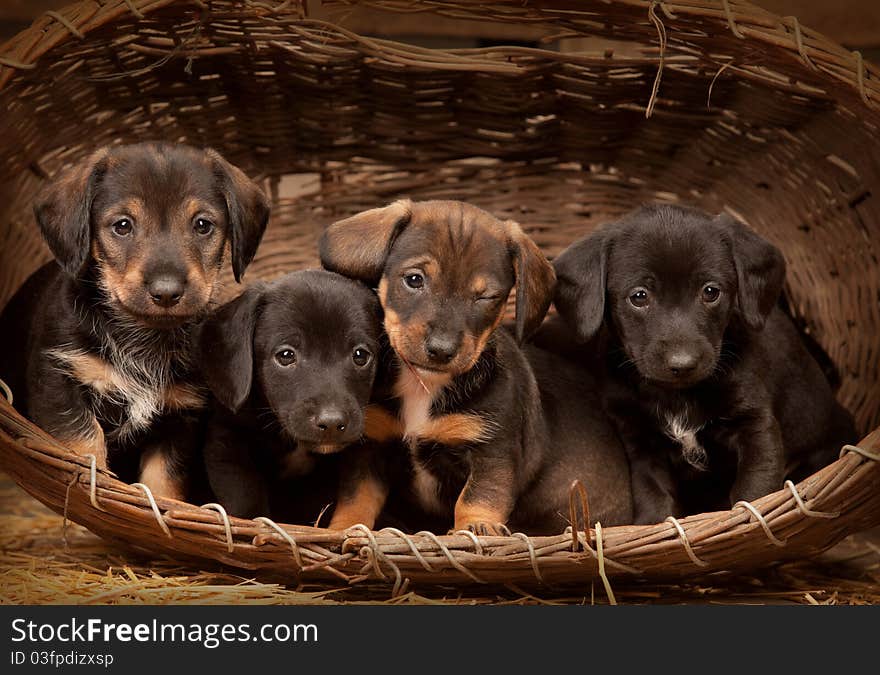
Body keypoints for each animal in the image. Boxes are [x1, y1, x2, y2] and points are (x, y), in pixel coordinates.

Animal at [0, 144, 270, 502]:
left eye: (203, 225)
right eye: (122, 225)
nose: (167, 292)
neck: (144, 337)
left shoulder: (179, 418)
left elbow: (163, 483)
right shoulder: (59, 386)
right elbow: (86, 445)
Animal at [322, 198, 632, 536]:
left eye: (486, 297)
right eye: (414, 279)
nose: (441, 350)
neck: (424, 386)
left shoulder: (492, 451)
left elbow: (478, 496)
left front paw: (476, 528)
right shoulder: (372, 447)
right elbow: (357, 498)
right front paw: (342, 529)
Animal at [552, 203, 856, 524]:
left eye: (711, 291)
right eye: (639, 296)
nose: (682, 364)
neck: (675, 395)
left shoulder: (755, 426)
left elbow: (755, 490)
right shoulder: (641, 442)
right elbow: (653, 495)